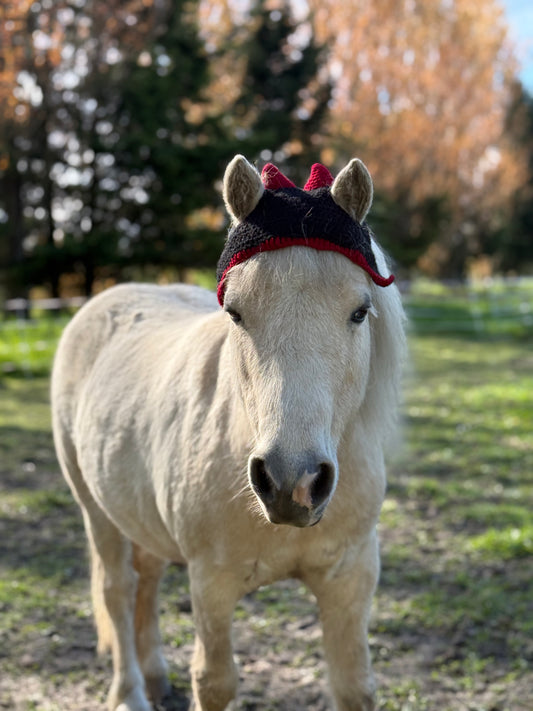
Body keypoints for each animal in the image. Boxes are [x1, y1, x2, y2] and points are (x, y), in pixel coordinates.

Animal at [51, 154, 406, 711]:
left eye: (359, 311)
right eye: (235, 312)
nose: (291, 483)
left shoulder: (350, 579)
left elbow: (354, 685)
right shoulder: (211, 585)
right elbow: (214, 681)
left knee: (146, 582)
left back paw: (156, 678)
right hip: (95, 511)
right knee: (117, 590)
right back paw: (130, 692)